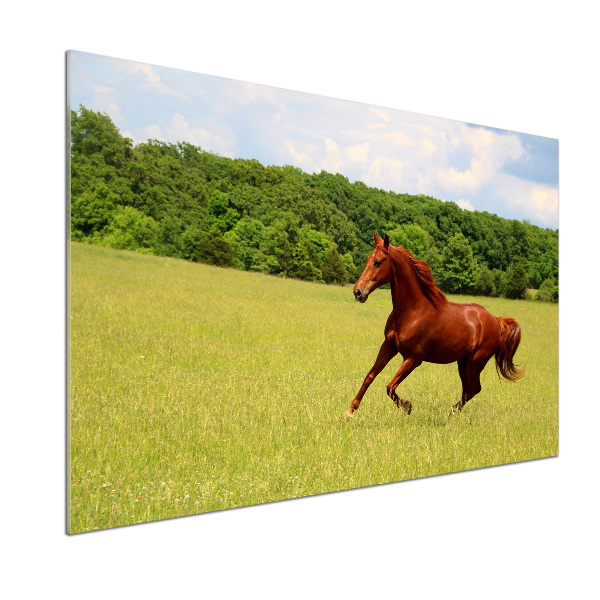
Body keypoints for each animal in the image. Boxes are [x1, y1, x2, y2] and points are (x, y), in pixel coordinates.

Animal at [346, 232, 524, 420]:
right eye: (368, 259)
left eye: (378, 262)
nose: (358, 292)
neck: (413, 311)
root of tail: (495, 320)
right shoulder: (388, 346)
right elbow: (370, 376)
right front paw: (350, 411)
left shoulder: (413, 359)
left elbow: (390, 386)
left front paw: (407, 406)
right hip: (463, 362)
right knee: (469, 389)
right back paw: (451, 414)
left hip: (475, 362)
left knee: (473, 389)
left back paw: (450, 415)